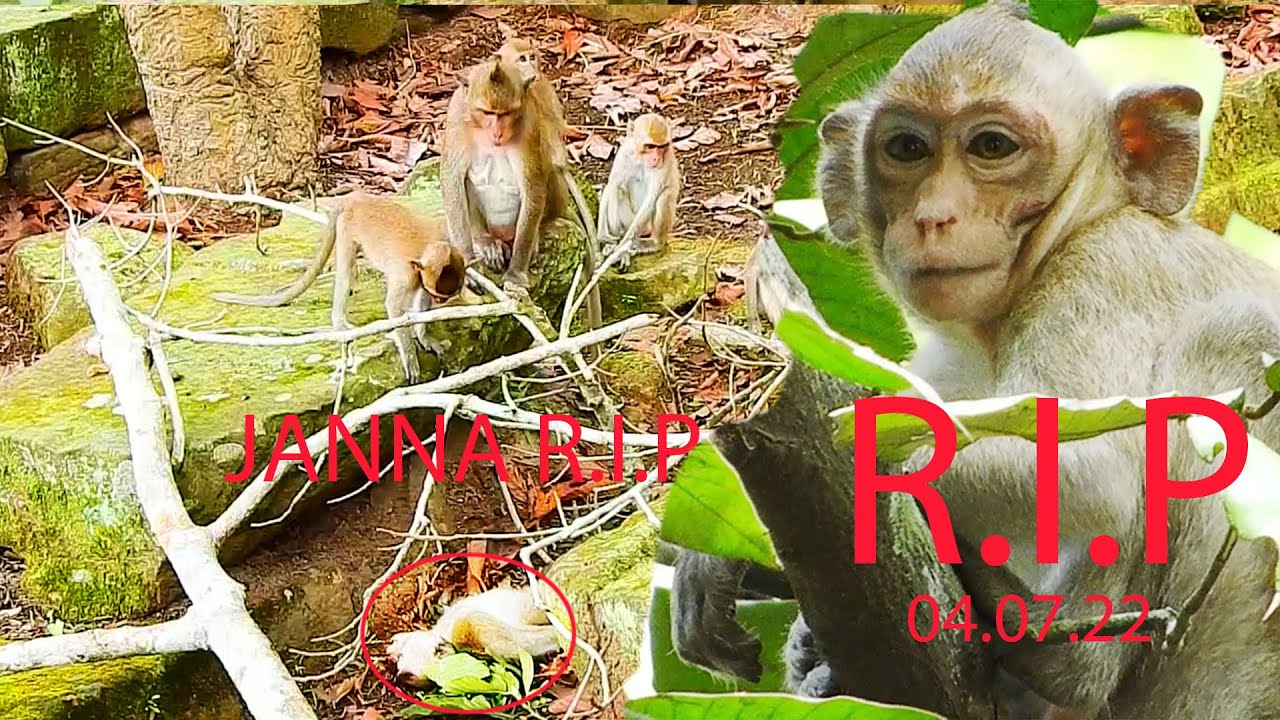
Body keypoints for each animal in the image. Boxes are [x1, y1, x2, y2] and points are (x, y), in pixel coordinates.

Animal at [213, 195, 465, 384]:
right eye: (440, 296)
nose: (442, 302)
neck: (428, 250)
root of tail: (356, 198)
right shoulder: (406, 274)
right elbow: (394, 308)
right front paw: (410, 354)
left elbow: (420, 300)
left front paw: (424, 337)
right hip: (347, 228)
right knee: (346, 271)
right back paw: (339, 322)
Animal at [442, 53, 602, 329]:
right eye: (487, 112)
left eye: (506, 113)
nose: (497, 132)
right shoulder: (456, 120)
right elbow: (452, 180)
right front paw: (468, 263)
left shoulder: (529, 124)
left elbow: (532, 185)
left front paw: (516, 274)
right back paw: (485, 241)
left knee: (548, 173)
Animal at [597, 113, 681, 271]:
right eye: (650, 146)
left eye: (662, 147)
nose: (656, 157)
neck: (641, 159)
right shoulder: (624, 152)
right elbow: (613, 184)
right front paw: (603, 236)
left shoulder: (665, 160)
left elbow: (651, 201)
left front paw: (620, 250)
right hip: (628, 219)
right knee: (617, 190)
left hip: (646, 227)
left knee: (663, 197)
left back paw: (654, 244)